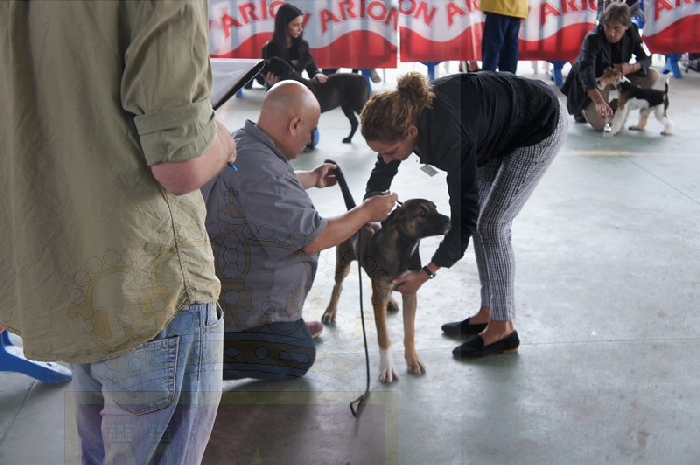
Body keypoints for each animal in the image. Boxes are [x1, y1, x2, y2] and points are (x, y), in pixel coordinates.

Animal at [321, 160, 450, 383]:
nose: (449, 219)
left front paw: (413, 360)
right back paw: (330, 311)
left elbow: (410, 332)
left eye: (435, 207)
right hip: (343, 260)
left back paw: (391, 300)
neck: (405, 250)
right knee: (338, 286)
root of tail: (355, 210)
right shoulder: (377, 299)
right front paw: (387, 368)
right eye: (422, 213)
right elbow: (384, 337)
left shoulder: (410, 293)